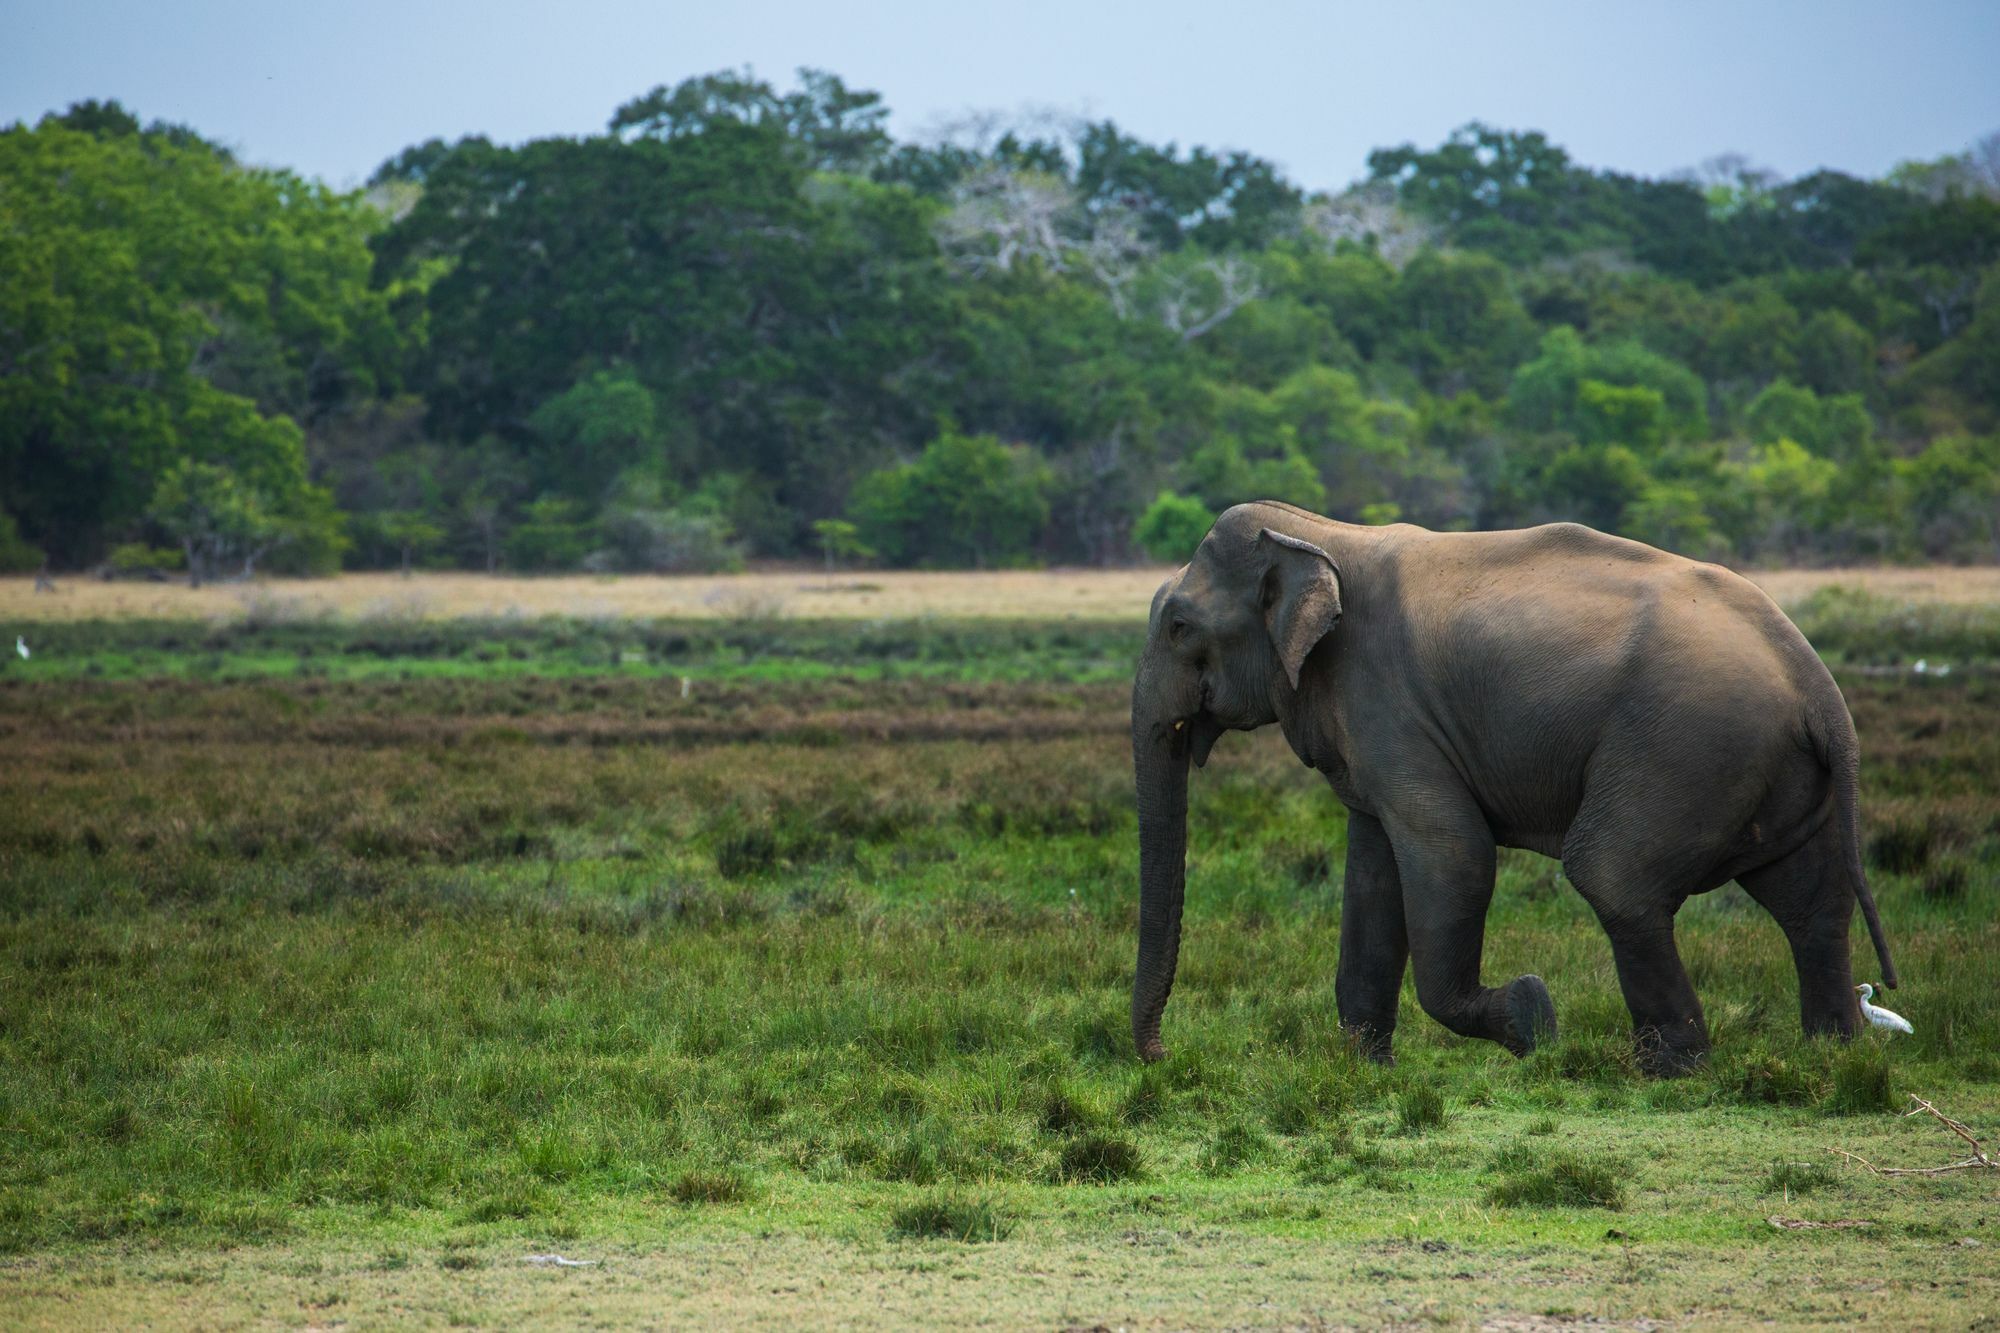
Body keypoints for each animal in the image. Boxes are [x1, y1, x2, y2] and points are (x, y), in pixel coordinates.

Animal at [1136, 498, 1896, 1072]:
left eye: (1178, 626)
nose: (1161, 1055)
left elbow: (1453, 852)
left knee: (1612, 876)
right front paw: (1365, 1068)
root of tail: (1817, 682)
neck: (1320, 533)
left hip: (1689, 746)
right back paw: (1833, 1056)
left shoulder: (1391, 708)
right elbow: (1374, 874)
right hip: (1772, 770)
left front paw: (1535, 1020)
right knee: (1810, 901)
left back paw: (1670, 1071)